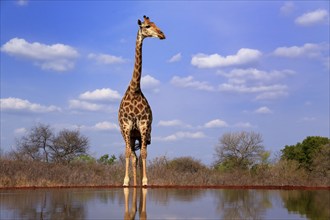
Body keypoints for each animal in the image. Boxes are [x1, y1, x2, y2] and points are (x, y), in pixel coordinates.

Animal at [118, 15, 165, 186]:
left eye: (155, 24)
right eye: (146, 26)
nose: (162, 34)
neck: (134, 90)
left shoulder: (144, 126)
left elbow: (144, 153)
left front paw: (145, 181)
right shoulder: (126, 126)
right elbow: (127, 153)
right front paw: (125, 181)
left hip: (142, 135)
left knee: (140, 155)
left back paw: (138, 181)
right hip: (131, 136)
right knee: (133, 156)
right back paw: (134, 182)